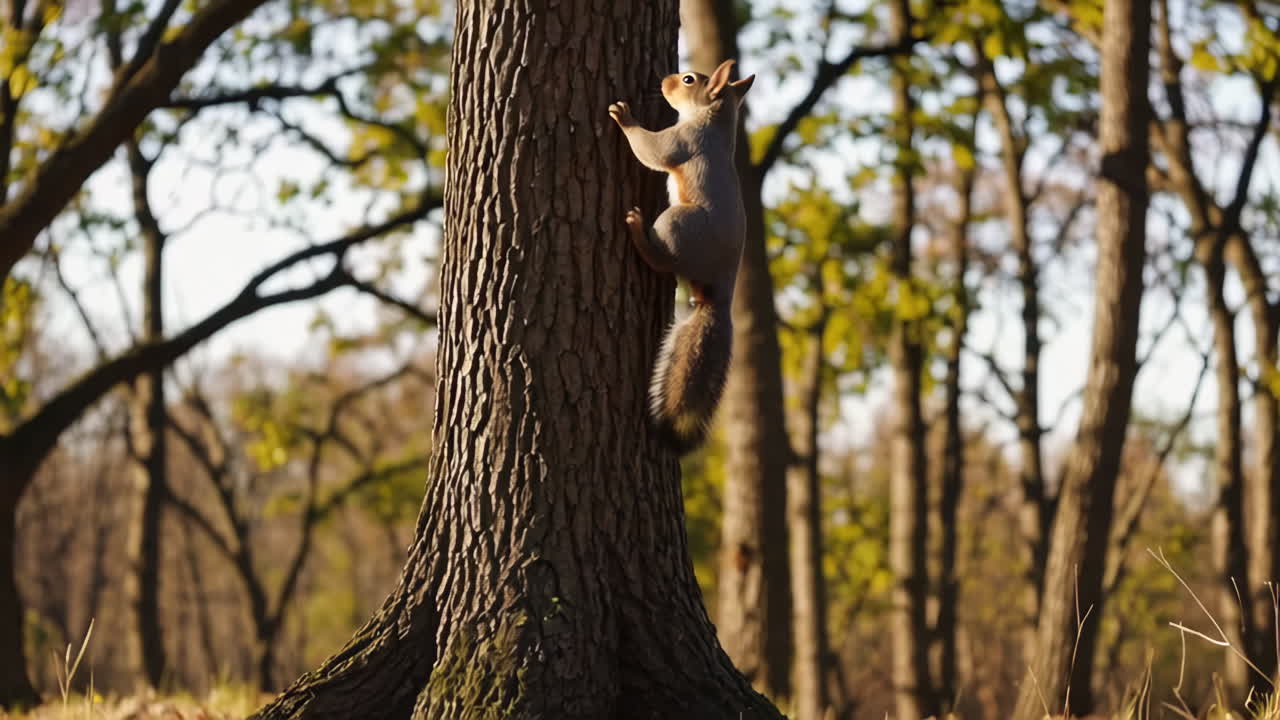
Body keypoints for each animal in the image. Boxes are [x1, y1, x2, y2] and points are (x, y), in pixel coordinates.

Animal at [608, 59, 755, 454]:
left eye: (689, 81)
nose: (665, 79)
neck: (713, 121)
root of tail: (718, 292)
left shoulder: (685, 140)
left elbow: (654, 150)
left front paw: (625, 117)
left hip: (676, 224)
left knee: (664, 262)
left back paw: (638, 230)